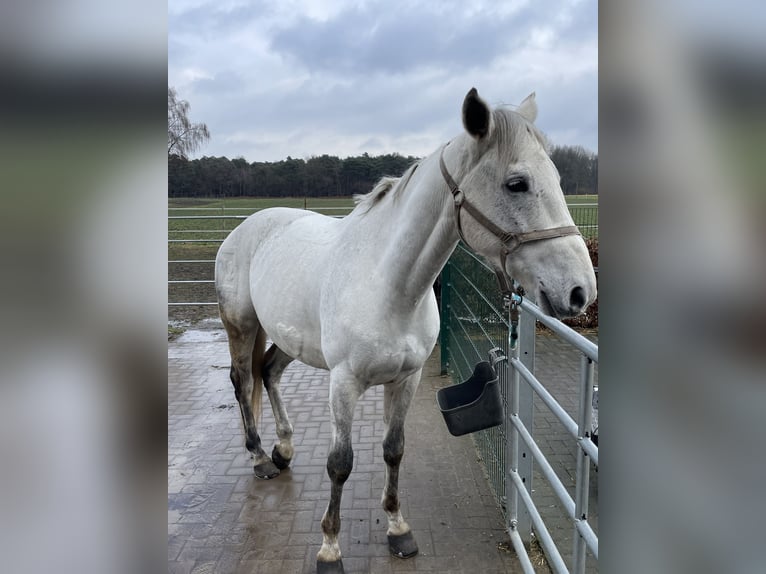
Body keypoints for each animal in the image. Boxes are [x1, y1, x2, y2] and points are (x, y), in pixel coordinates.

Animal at [215, 88, 597, 573]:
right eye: (517, 183)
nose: (580, 291)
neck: (388, 284)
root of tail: (246, 227)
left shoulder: (406, 379)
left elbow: (393, 449)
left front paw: (398, 528)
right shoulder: (343, 383)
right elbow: (340, 463)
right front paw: (329, 548)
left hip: (287, 336)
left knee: (268, 373)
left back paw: (283, 450)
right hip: (241, 324)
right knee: (242, 380)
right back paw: (261, 456)